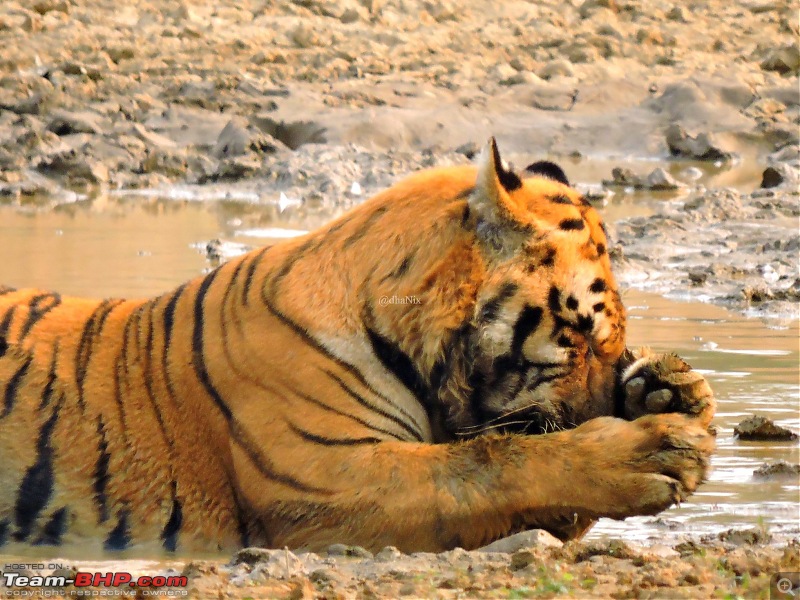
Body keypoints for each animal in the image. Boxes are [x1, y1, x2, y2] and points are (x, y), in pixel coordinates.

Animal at [0, 139, 712, 552]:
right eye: (578, 334)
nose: (606, 410)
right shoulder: (327, 478)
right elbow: (492, 465)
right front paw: (653, 450)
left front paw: (674, 391)